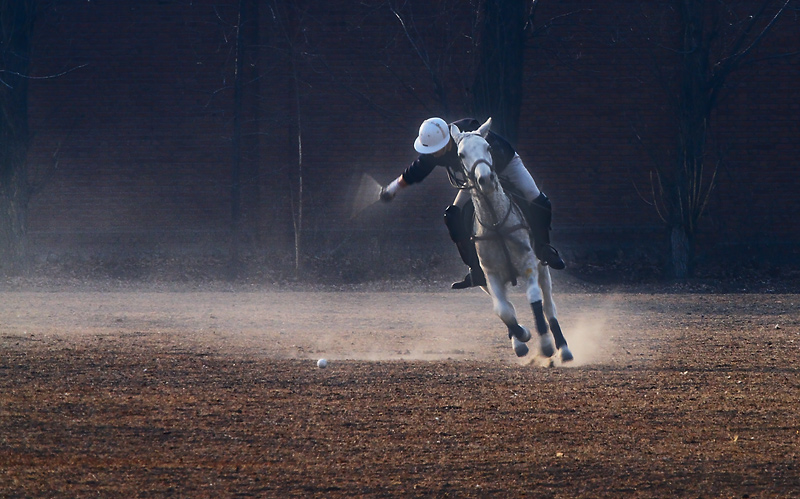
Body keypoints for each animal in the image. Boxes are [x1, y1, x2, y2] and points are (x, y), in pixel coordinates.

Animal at [446, 121, 572, 364]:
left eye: (488, 147)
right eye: (460, 154)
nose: (485, 179)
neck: (496, 223)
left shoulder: (529, 265)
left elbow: (534, 299)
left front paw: (545, 345)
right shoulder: (490, 275)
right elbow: (503, 310)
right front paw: (522, 336)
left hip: (544, 268)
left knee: (549, 306)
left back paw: (563, 349)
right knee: (507, 305)